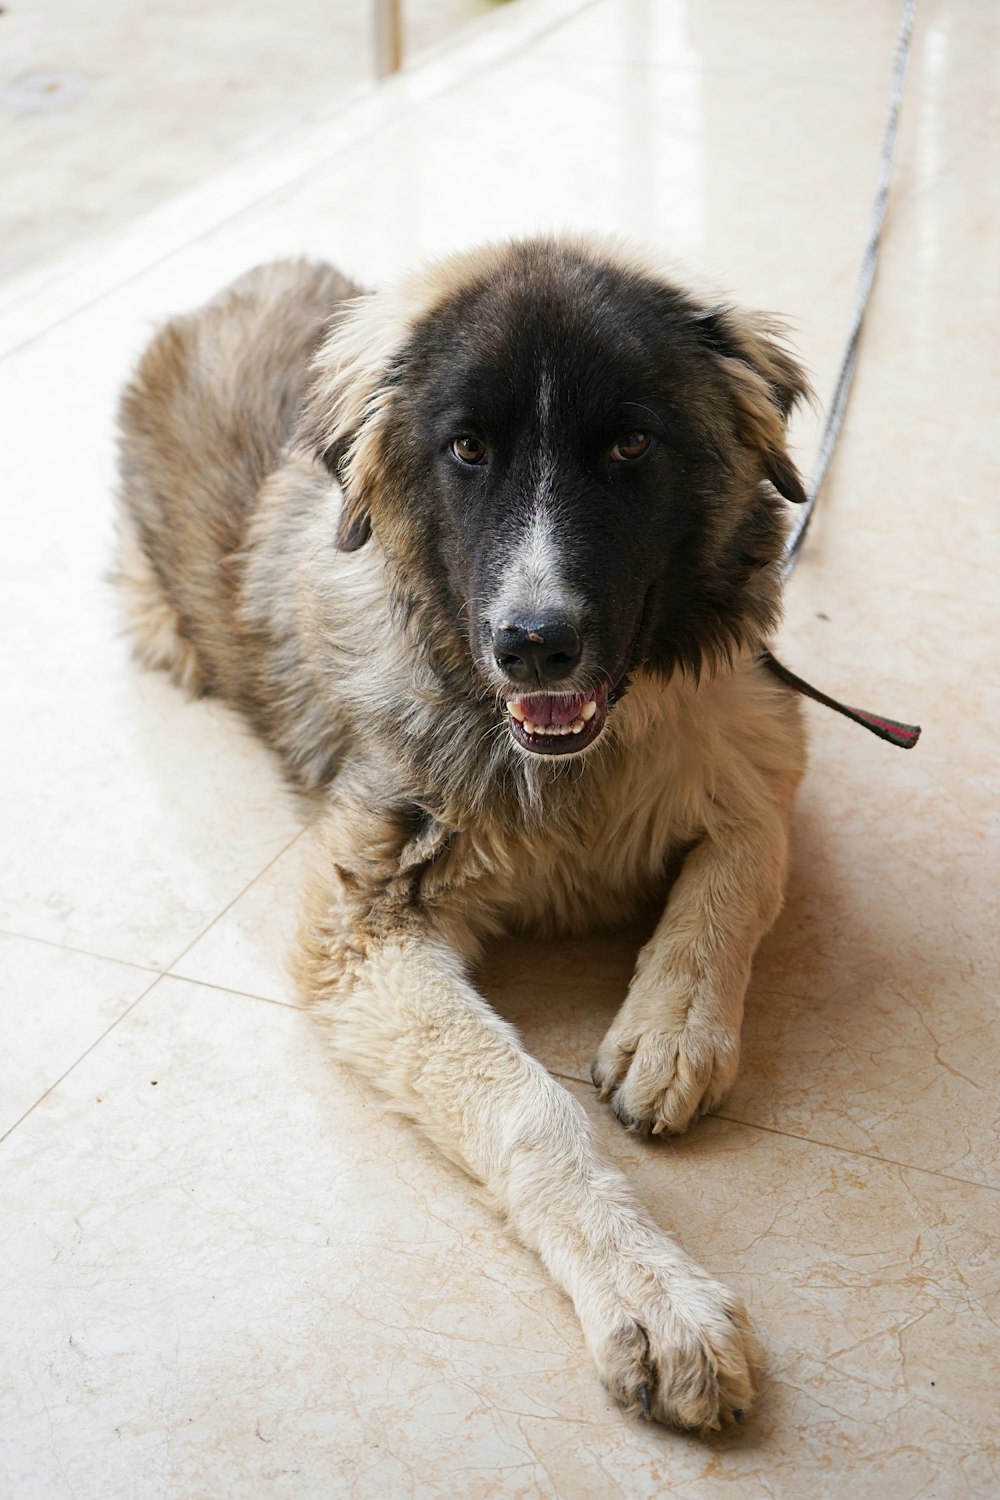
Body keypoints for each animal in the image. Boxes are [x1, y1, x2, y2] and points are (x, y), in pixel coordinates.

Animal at [115, 240, 815, 1434]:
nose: (534, 644)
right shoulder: (362, 922)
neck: (573, 766)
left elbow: (739, 870)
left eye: (630, 444)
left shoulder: (759, 740)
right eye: (467, 450)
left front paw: (674, 1029)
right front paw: (652, 1298)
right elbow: (524, 1104)